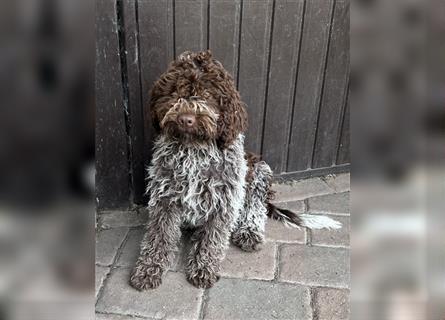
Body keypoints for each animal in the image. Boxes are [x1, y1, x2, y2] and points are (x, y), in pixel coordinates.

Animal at [128, 50, 340, 290]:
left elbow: (212, 239)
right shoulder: (165, 198)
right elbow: (159, 236)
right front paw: (148, 269)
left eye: (207, 94)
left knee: (256, 207)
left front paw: (204, 267)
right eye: (175, 92)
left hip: (259, 169)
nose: (186, 119)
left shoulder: (224, 201)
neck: (195, 150)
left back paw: (250, 231)